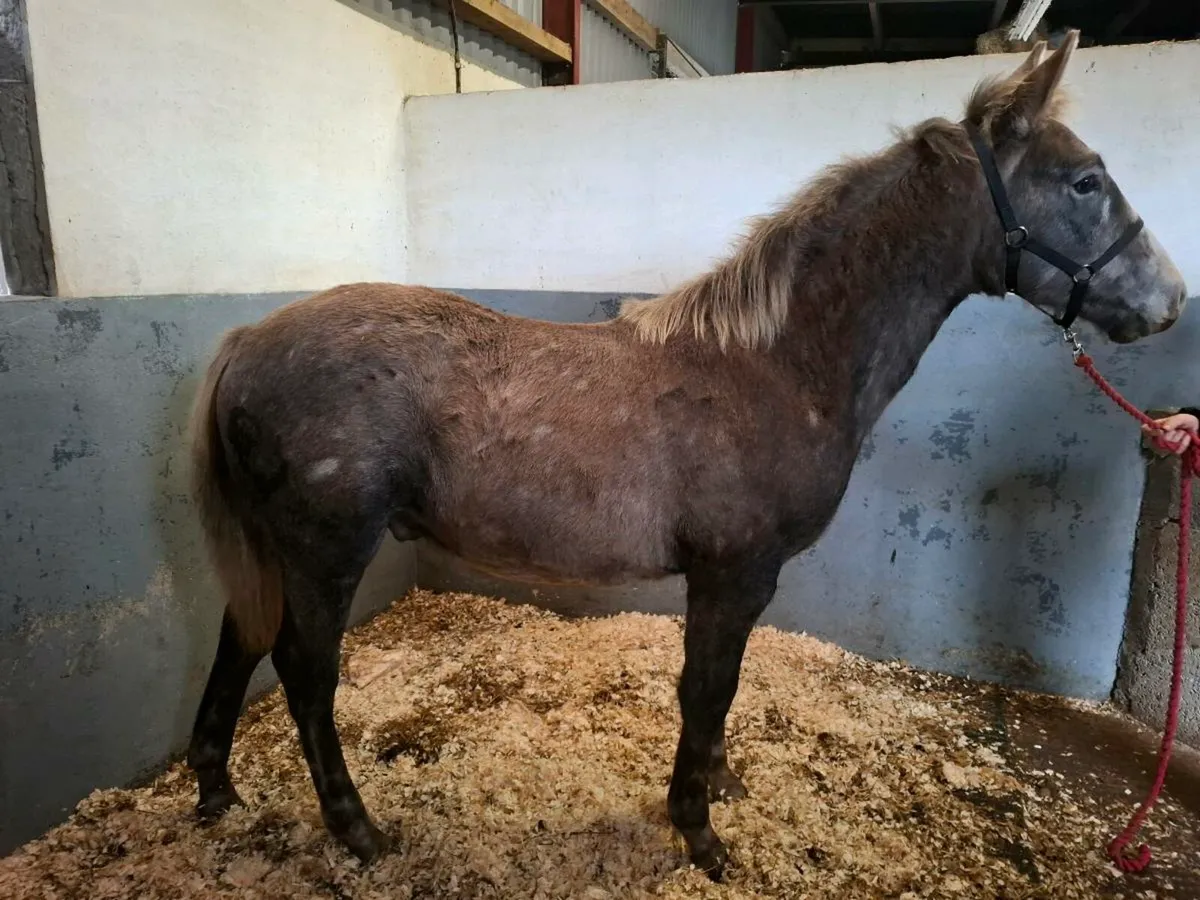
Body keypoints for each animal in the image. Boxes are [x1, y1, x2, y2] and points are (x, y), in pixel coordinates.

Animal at [185, 33, 1186, 881]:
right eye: (1085, 182)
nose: (1169, 300)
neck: (775, 363)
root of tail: (246, 338)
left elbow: (717, 698)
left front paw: (716, 788)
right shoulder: (733, 572)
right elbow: (707, 691)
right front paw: (700, 832)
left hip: (277, 549)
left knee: (239, 640)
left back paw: (215, 789)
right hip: (325, 550)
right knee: (305, 672)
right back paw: (356, 830)